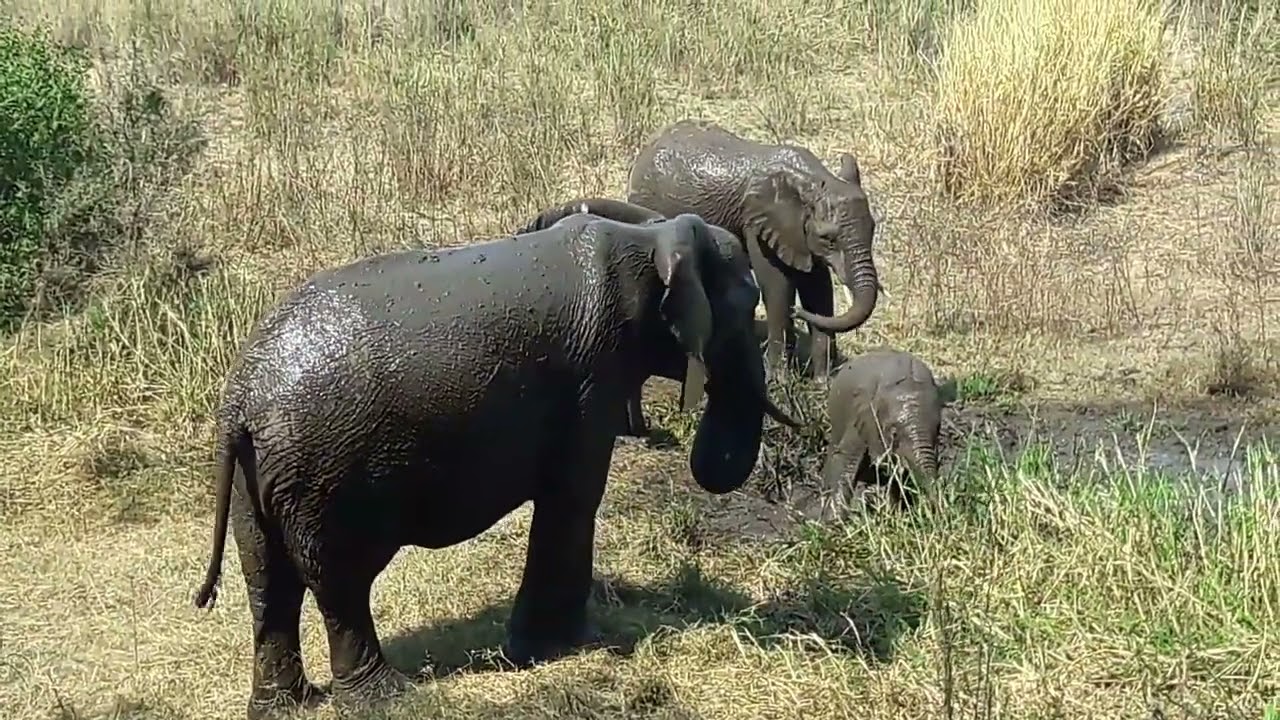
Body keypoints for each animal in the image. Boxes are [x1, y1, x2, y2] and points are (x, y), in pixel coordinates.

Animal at [191, 211, 803, 720]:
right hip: (323, 471)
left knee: (269, 583)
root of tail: (239, 403)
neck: (650, 237)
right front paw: (558, 648)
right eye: (747, 303)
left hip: (258, 477)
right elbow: (574, 496)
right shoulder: (594, 375)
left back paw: (284, 707)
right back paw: (387, 699)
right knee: (338, 581)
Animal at [626, 119, 882, 383]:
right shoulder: (757, 225)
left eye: (873, 228)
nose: (797, 313)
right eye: (828, 239)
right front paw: (779, 381)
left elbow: (818, 288)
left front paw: (823, 383)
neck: (812, 180)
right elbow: (777, 287)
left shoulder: (799, 236)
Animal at [810, 348, 955, 519]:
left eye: (938, 428)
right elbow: (844, 459)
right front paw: (834, 522)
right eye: (894, 433)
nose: (939, 510)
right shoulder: (862, 415)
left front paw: (895, 514)